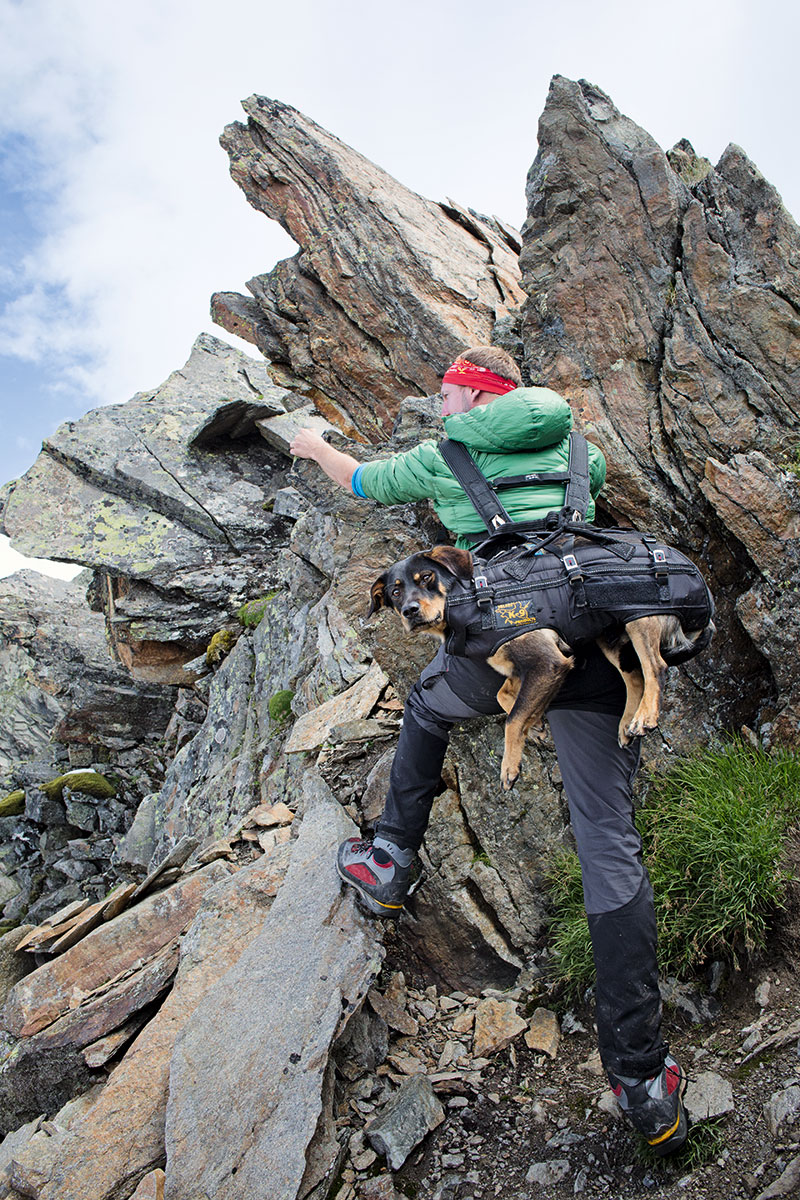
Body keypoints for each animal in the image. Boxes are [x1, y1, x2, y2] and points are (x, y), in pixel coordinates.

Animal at [369, 549, 714, 792]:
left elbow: (511, 719)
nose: (410, 611)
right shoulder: (517, 669)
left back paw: (645, 717)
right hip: (610, 638)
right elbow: (506, 699)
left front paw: (510, 765)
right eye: (396, 593)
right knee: (634, 678)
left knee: (656, 667)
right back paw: (627, 723)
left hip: (638, 618)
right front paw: (534, 725)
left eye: (426, 577)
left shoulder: (547, 662)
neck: (469, 601)